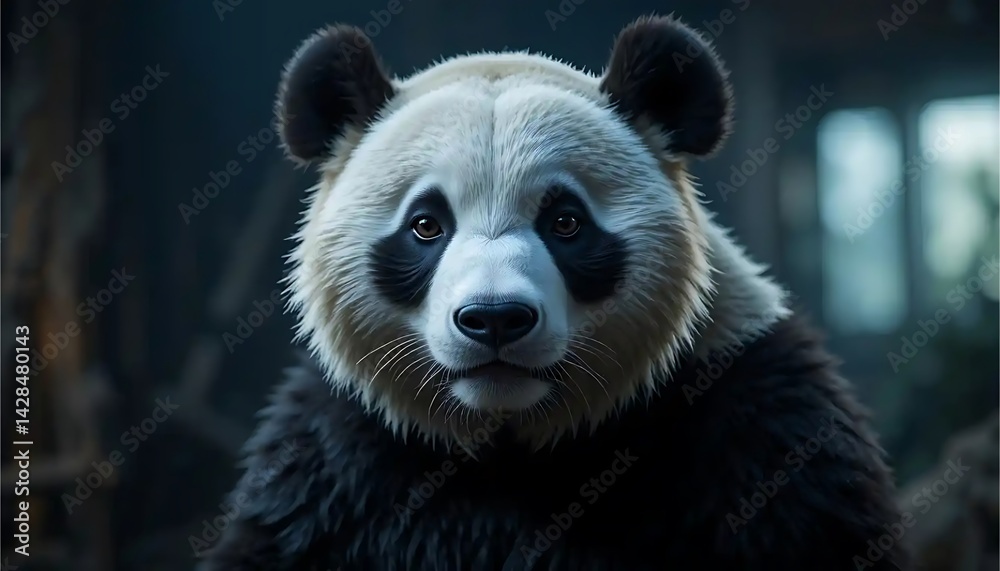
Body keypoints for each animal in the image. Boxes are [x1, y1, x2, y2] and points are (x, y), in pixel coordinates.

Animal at [200, 14, 912, 571]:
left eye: (565, 221)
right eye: (426, 225)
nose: (493, 320)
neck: (511, 443)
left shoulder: (750, 419)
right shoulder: (341, 462)